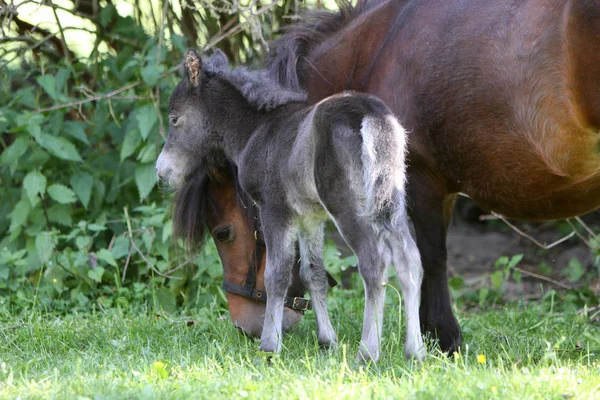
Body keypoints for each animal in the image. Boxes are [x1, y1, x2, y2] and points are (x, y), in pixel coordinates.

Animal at [157, 49, 424, 362]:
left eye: (174, 119)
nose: (162, 171)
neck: (254, 131)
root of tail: (370, 114)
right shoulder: (310, 218)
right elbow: (313, 273)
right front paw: (328, 340)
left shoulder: (274, 209)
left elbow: (277, 274)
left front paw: (269, 345)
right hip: (391, 202)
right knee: (409, 260)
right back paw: (415, 351)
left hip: (348, 207)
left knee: (374, 262)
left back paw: (368, 352)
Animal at [179, 0, 600, 352]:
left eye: (224, 233)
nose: (244, 325)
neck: (376, 49)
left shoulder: (422, 182)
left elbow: (431, 258)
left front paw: (443, 335)